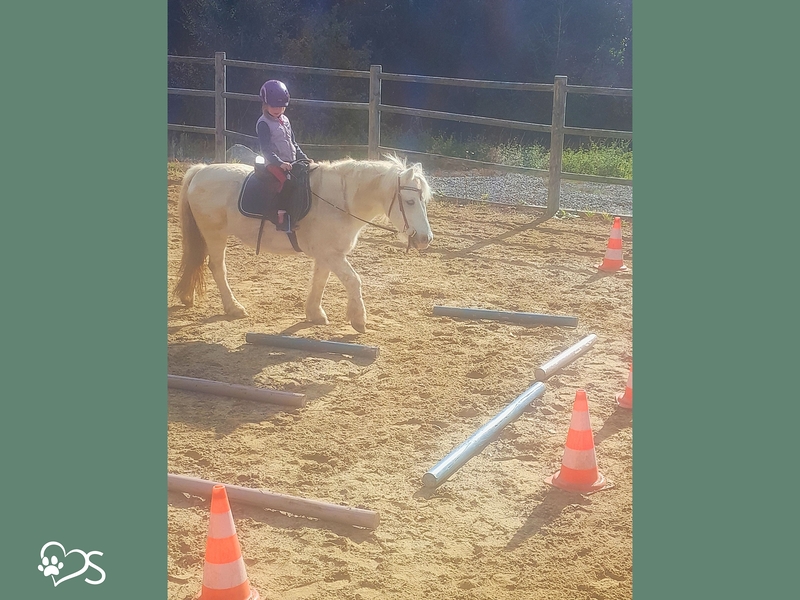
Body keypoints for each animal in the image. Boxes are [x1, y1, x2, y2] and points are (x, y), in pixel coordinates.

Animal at [173, 155, 433, 333]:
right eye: (410, 201)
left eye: (424, 200)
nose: (425, 239)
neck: (340, 202)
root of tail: (201, 171)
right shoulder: (331, 254)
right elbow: (353, 280)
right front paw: (358, 319)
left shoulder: (328, 254)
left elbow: (320, 281)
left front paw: (315, 313)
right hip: (215, 235)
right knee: (217, 268)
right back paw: (234, 307)